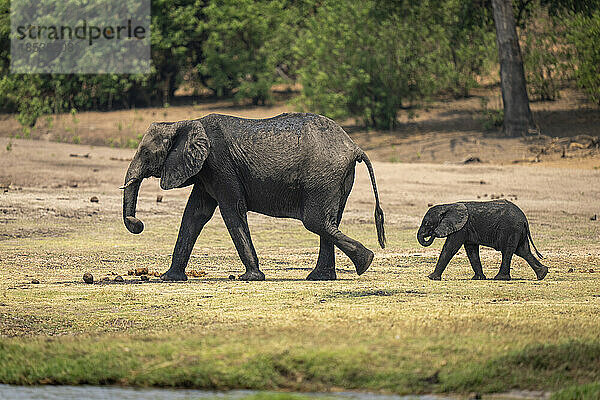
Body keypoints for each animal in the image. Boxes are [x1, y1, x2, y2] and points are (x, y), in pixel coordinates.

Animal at [121, 112, 384, 282]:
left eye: (146, 153)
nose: (138, 223)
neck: (184, 123)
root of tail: (354, 146)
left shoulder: (220, 165)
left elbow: (231, 211)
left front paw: (251, 277)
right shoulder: (207, 171)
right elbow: (194, 216)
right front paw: (169, 278)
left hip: (324, 176)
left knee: (316, 221)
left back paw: (365, 262)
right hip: (338, 178)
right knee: (329, 221)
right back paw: (323, 276)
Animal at [418, 200, 548, 282]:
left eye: (427, 223)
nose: (433, 233)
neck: (447, 206)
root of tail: (524, 219)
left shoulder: (461, 228)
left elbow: (450, 248)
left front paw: (431, 277)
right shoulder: (467, 229)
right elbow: (471, 251)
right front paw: (478, 278)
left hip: (510, 229)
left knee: (508, 251)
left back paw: (500, 278)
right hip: (518, 231)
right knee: (523, 251)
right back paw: (542, 274)